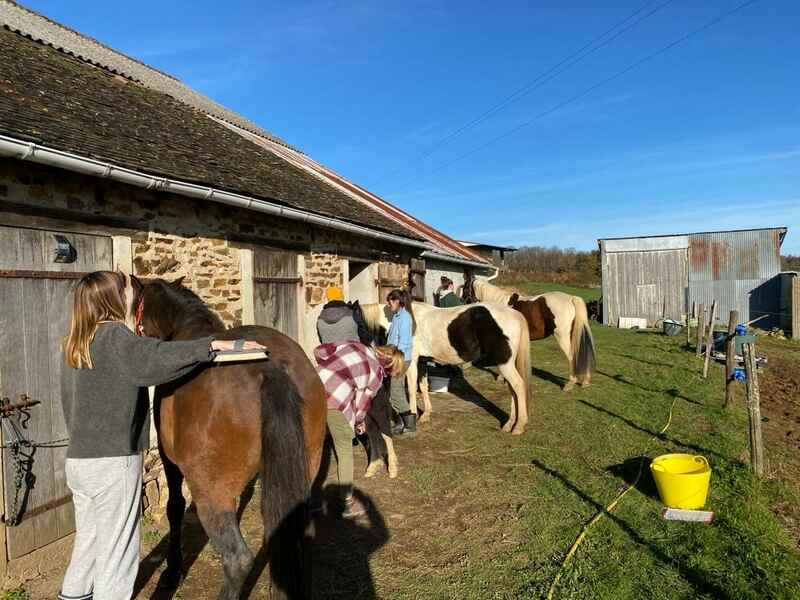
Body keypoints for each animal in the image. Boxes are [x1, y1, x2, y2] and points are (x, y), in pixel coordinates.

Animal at [131, 276, 324, 600]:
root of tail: (267, 367)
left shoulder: (171, 464)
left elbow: (174, 508)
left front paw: (172, 572)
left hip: (210, 493)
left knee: (238, 560)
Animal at [362, 302, 532, 434]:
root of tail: (515, 314)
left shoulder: (412, 362)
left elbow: (411, 389)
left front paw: (413, 417)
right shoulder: (422, 362)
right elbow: (423, 386)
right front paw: (426, 415)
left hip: (504, 364)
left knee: (518, 386)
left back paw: (519, 426)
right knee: (513, 390)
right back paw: (509, 424)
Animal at [462, 278, 592, 392]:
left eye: (465, 287)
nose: (464, 302)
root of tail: (571, 298)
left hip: (562, 336)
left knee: (572, 356)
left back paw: (570, 384)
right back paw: (585, 381)